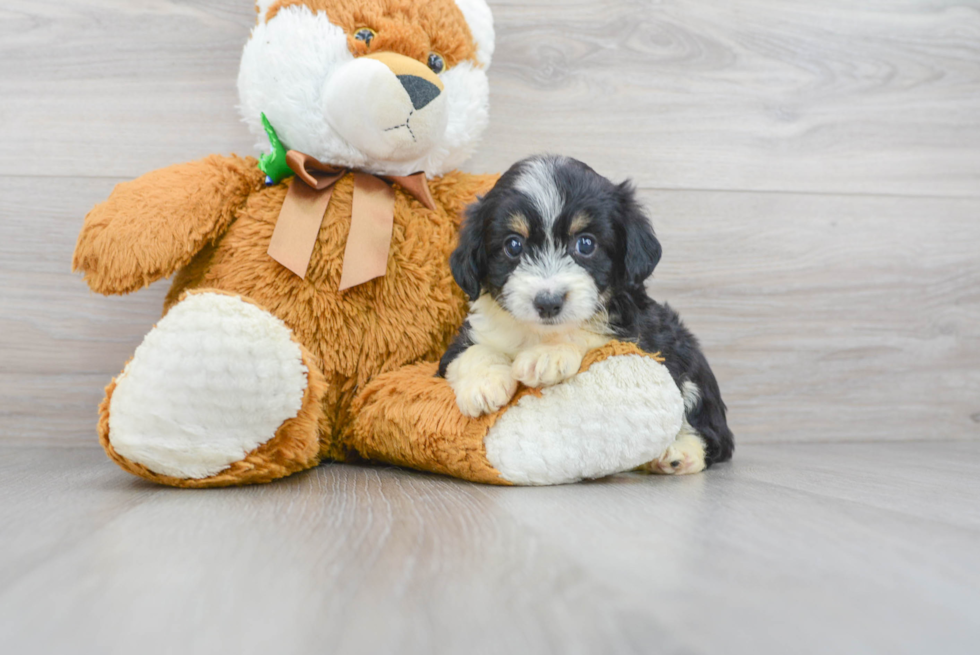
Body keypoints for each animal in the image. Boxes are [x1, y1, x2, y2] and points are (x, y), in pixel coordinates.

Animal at [438, 156, 736, 474]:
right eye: (513, 245)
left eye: (586, 243)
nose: (548, 303)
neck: (539, 331)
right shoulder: (462, 343)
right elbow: (472, 352)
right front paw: (483, 385)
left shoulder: (637, 336)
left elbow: (588, 335)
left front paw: (546, 356)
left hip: (690, 369)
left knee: (713, 435)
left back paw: (679, 454)